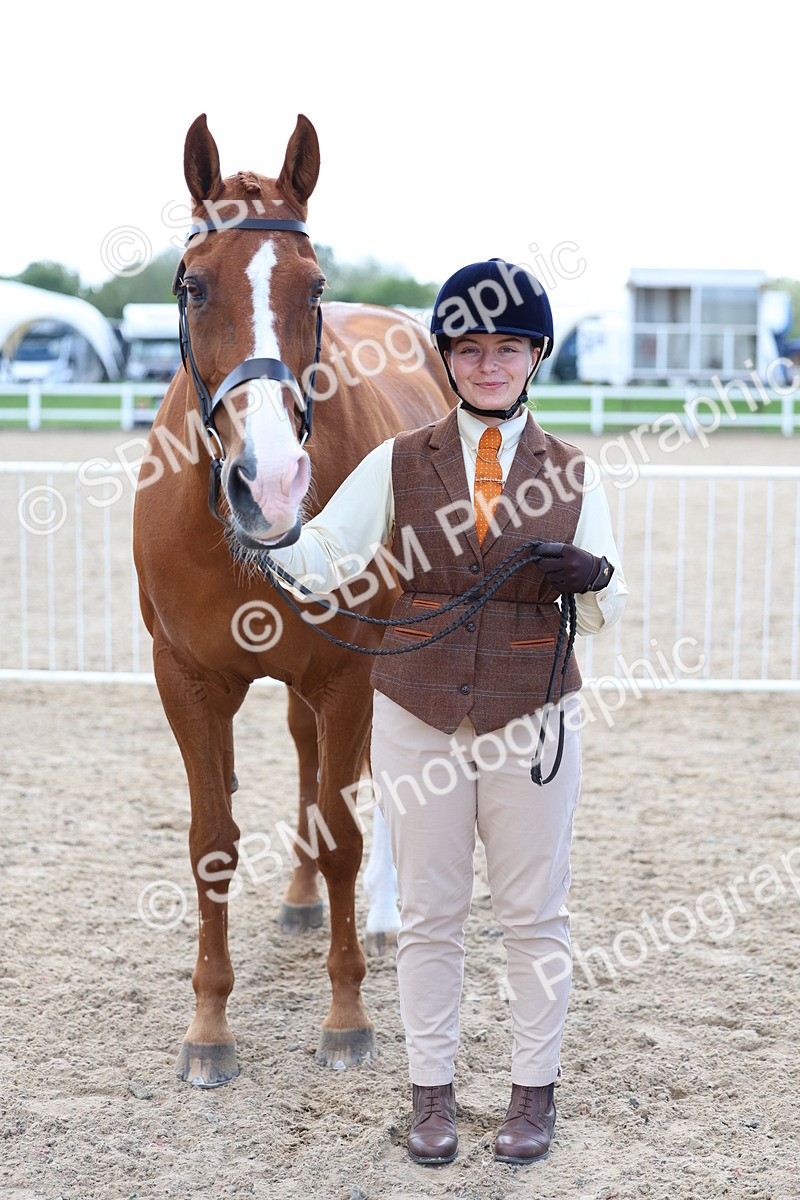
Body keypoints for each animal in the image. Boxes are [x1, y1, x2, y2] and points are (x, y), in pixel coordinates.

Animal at [132, 113, 454, 1087]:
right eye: (193, 286)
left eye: (313, 289)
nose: (268, 486)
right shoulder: (187, 680)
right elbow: (212, 843)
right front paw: (209, 1028)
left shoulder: (350, 672)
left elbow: (347, 832)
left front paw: (347, 1016)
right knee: (311, 760)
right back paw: (304, 898)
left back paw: (382, 919)